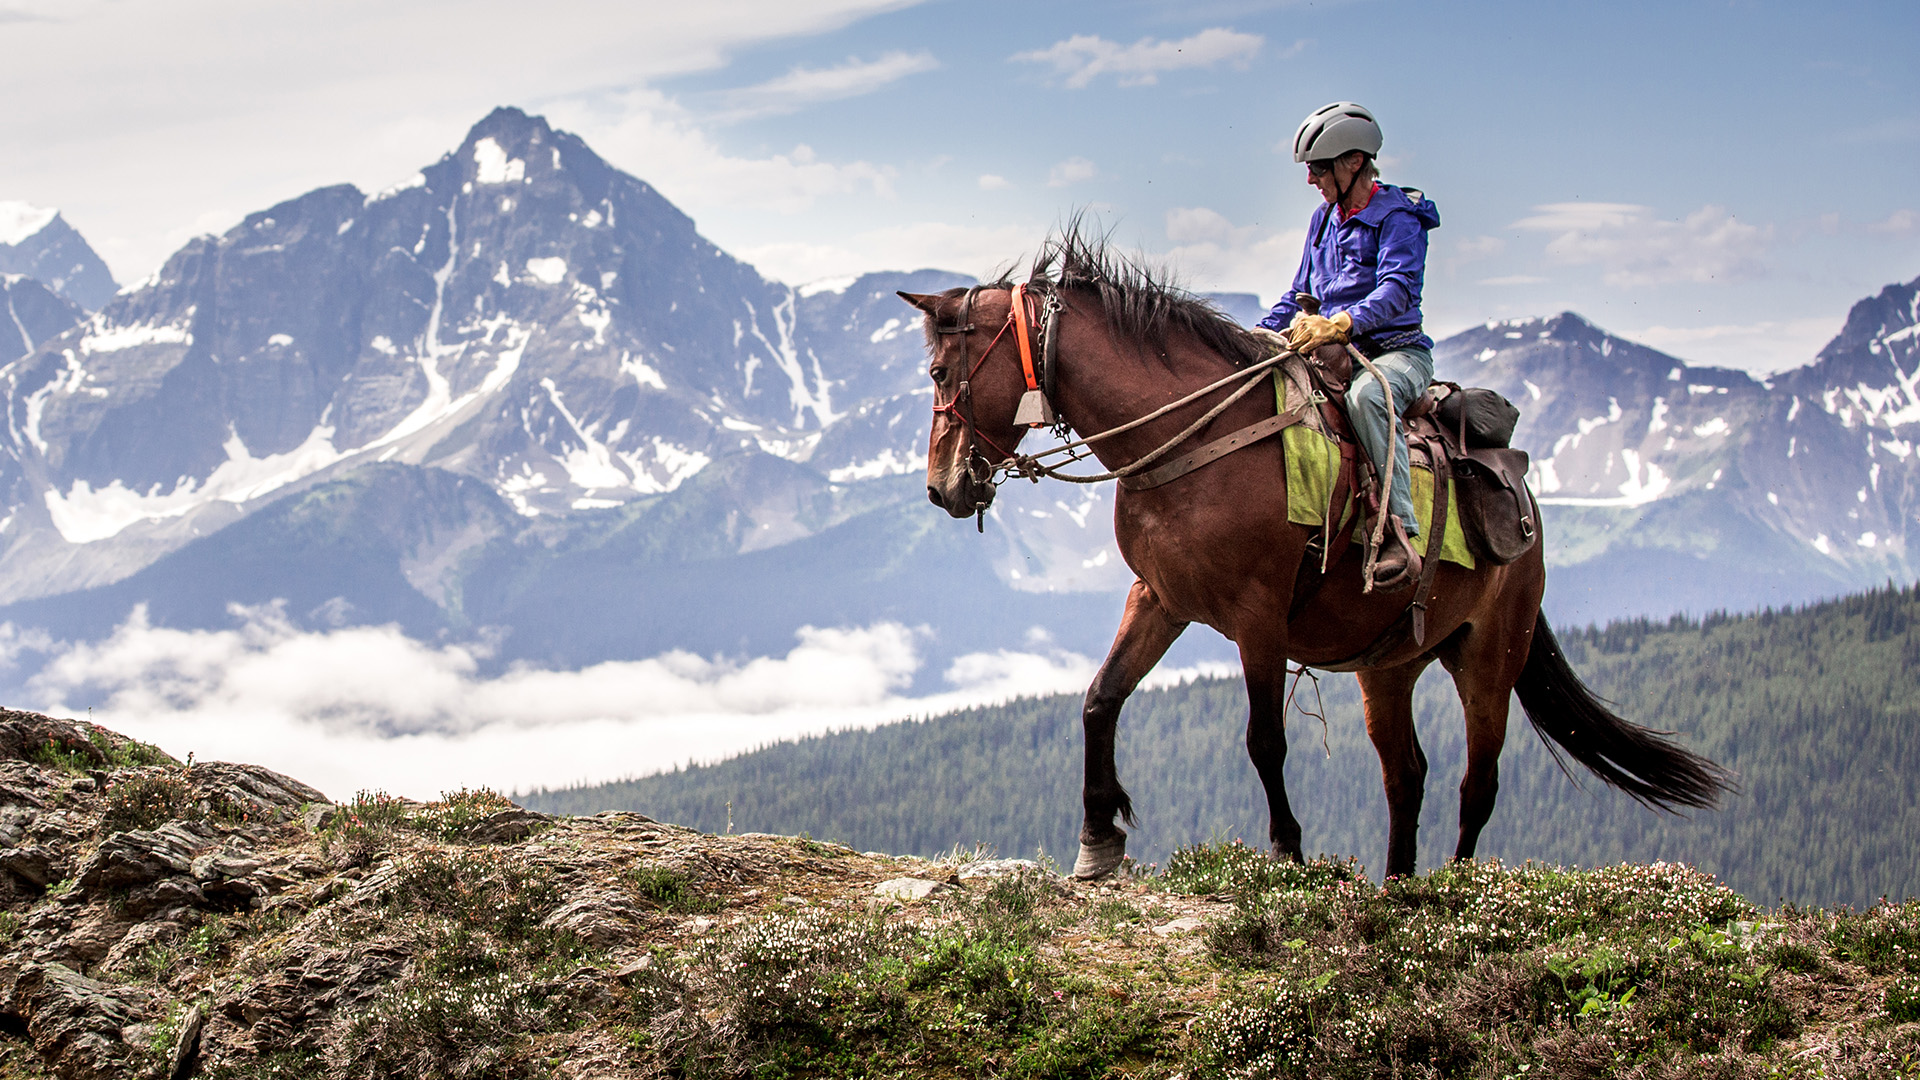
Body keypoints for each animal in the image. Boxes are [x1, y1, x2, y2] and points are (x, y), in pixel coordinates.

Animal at [894, 231, 1728, 880]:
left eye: (938, 373)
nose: (942, 487)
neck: (1199, 435)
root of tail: (1525, 501)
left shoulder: (1258, 615)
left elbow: (1265, 740)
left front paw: (1288, 851)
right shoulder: (1158, 599)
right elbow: (1101, 700)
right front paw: (1099, 840)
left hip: (1490, 652)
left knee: (1476, 784)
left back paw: (1454, 890)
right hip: (1388, 666)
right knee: (1407, 777)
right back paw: (1400, 888)